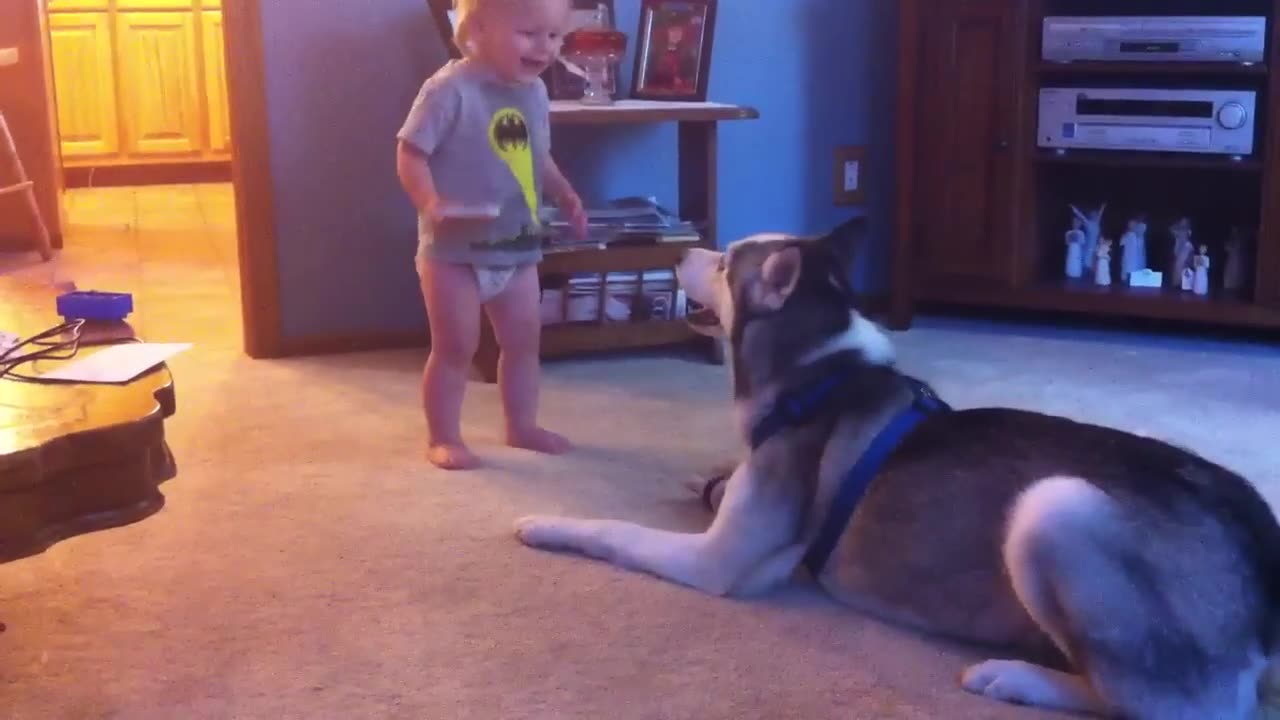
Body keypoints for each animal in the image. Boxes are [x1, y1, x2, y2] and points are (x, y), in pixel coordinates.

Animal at [514, 225, 1280, 717]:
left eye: (726, 263)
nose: (681, 253)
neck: (817, 372)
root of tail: (1262, 560)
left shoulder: (720, 561)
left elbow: (612, 529)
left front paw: (545, 524)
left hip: (1056, 507)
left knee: (1153, 707)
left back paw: (1019, 679)